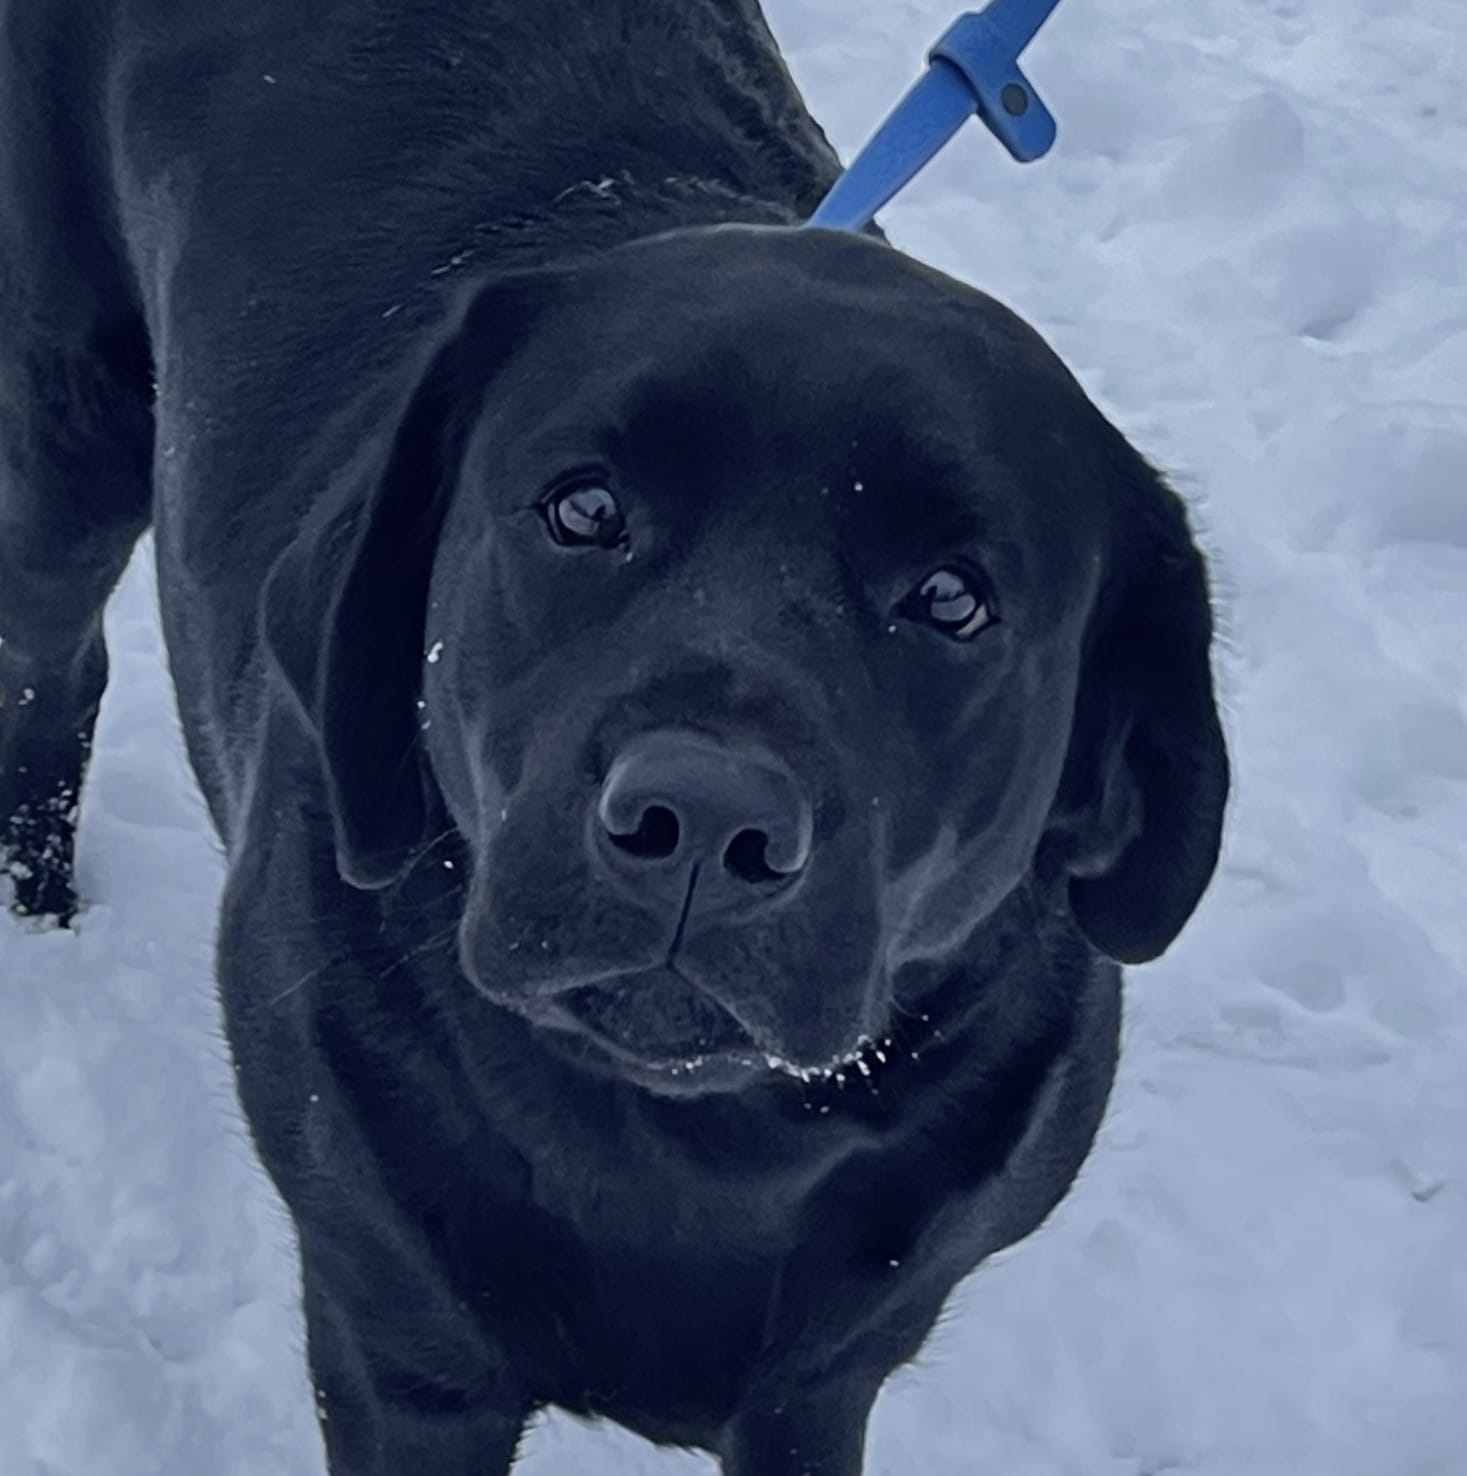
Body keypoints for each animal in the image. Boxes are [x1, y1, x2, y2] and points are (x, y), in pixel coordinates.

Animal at [0, 3, 1229, 1472]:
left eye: (951, 599)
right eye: (583, 509)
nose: (701, 819)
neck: (682, 1148)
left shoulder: (829, 1376)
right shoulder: (397, 1346)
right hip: (65, 424)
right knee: (49, 671)